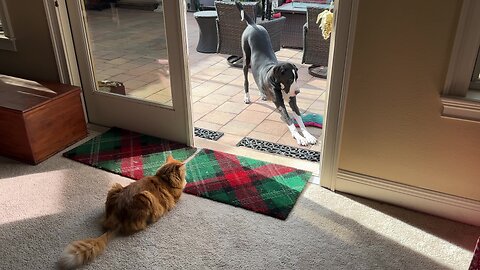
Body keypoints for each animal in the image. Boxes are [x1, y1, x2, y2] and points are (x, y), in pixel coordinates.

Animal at [58, 155, 186, 268]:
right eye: (184, 172)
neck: (164, 178)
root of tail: (119, 218)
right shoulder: (177, 198)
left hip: (115, 187)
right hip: (146, 197)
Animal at [234, 2, 316, 146]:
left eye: (296, 78)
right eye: (289, 79)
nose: (298, 92)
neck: (278, 84)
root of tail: (254, 25)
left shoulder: (293, 102)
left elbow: (299, 119)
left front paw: (308, 135)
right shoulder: (280, 104)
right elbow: (290, 121)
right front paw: (300, 138)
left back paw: (263, 94)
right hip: (245, 59)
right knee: (246, 80)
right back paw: (247, 97)